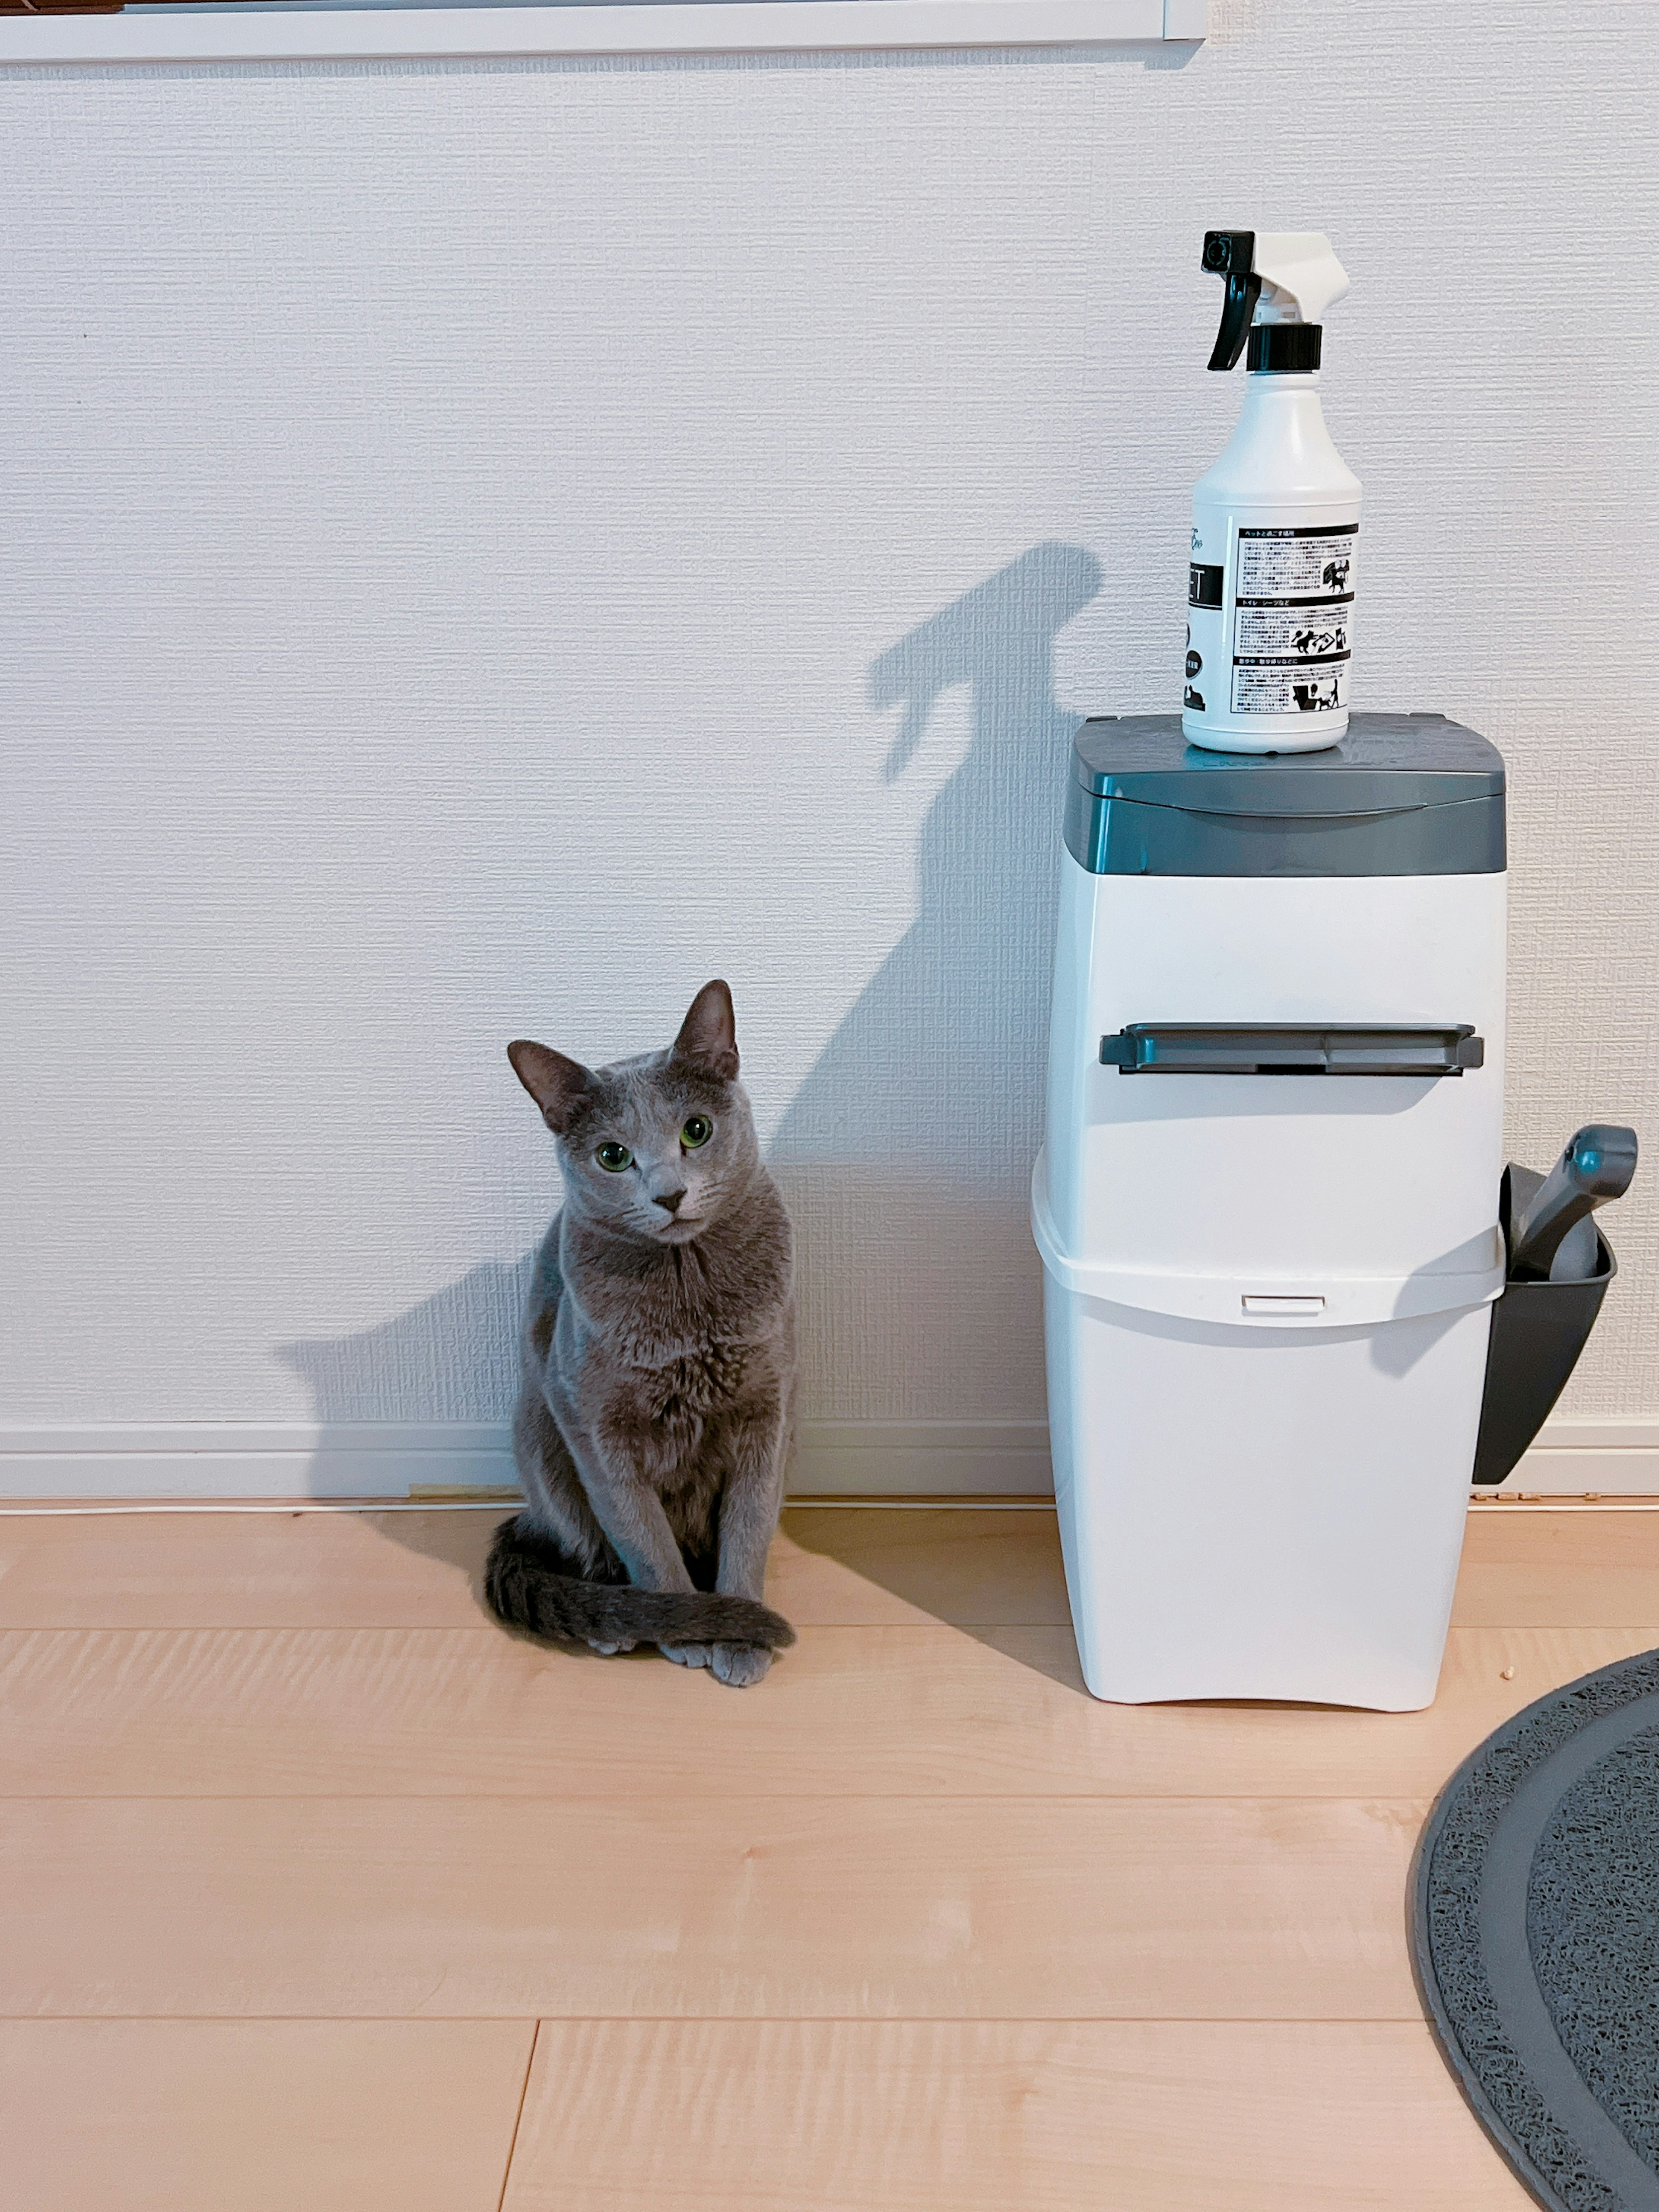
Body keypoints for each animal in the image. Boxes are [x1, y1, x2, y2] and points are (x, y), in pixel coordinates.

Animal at [486, 978, 801, 1681]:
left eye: (696, 1130)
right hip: (540, 1436)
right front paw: (687, 1627)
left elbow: (749, 1526)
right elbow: (643, 1535)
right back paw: (617, 1624)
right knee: (590, 1546)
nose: (669, 1194)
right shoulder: (593, 1422)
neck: (689, 1303)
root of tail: (528, 1520)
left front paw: (740, 1634)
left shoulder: (766, 1409)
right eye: (613, 1155)